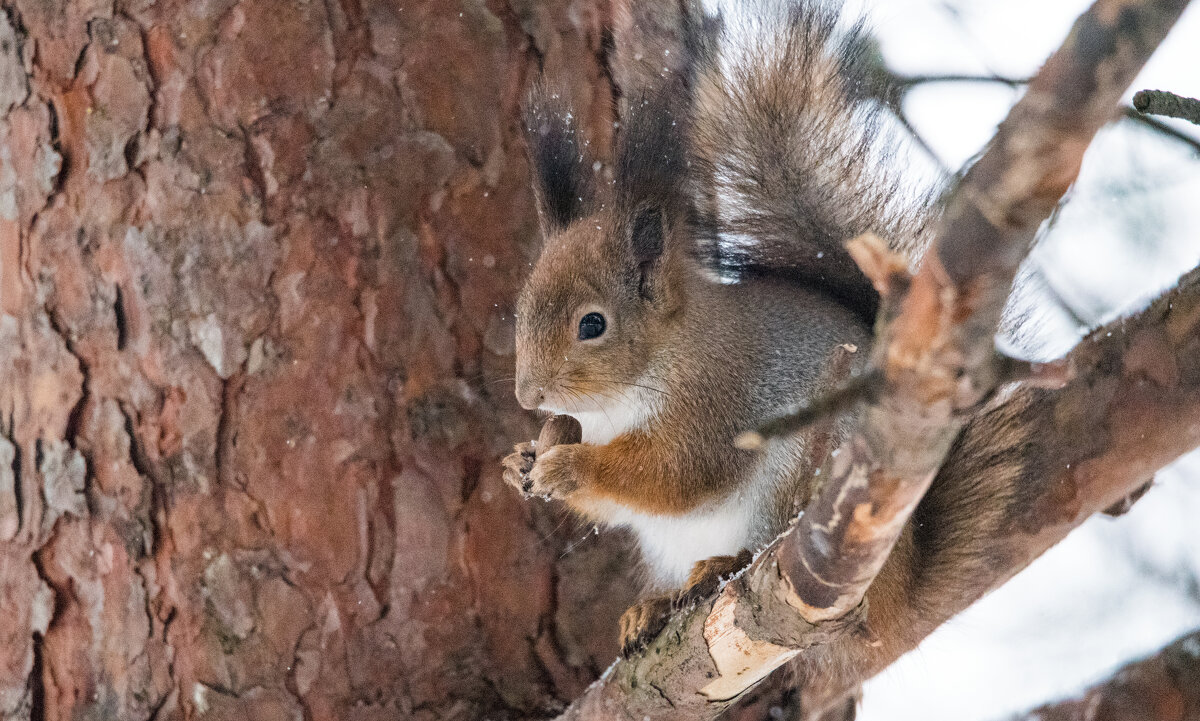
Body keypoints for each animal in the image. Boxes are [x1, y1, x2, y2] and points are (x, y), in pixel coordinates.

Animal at [501, 0, 931, 652]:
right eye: (523, 308)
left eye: (592, 324)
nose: (529, 396)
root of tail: (896, 596)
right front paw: (521, 461)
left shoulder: (715, 400)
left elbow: (675, 474)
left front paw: (570, 467)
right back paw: (650, 607)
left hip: (806, 476)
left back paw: (721, 567)